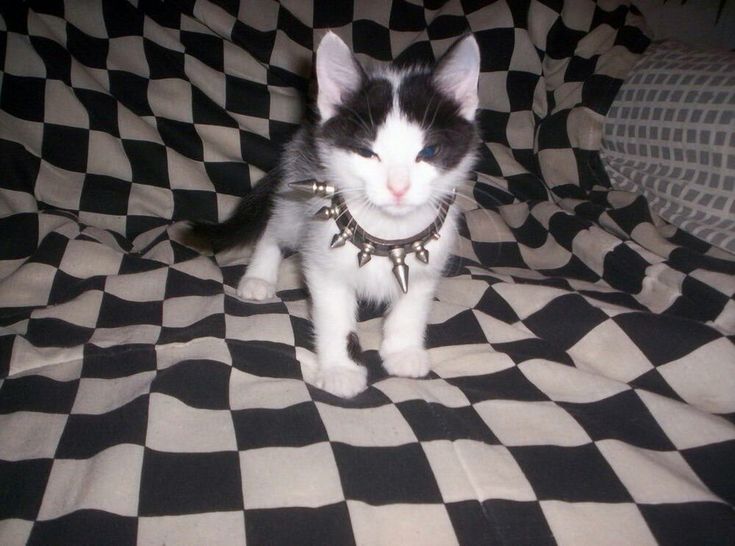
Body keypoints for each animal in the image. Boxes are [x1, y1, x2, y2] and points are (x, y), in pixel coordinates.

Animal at [194, 34, 484, 398]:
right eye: (366, 152)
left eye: (429, 152)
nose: (398, 188)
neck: (388, 228)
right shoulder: (325, 262)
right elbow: (335, 317)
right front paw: (340, 371)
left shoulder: (429, 258)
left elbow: (413, 302)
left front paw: (403, 350)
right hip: (299, 194)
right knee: (277, 226)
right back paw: (258, 277)